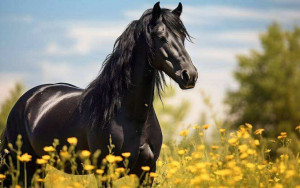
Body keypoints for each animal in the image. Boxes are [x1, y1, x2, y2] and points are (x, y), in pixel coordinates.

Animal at [0, 1, 197, 187]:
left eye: (182, 38)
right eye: (161, 37)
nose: (190, 75)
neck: (131, 117)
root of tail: (26, 100)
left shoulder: (147, 173)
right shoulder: (105, 173)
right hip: (24, 164)